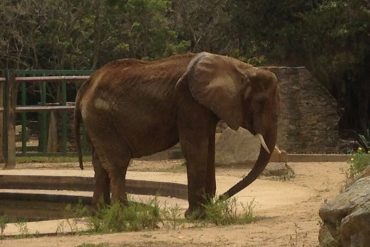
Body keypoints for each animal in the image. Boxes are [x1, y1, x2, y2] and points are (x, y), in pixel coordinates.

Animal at [73, 51, 278, 216]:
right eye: (260, 102)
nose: (220, 199)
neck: (236, 66)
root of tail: (86, 85)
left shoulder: (204, 106)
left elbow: (209, 148)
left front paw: (206, 211)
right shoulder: (188, 101)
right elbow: (195, 148)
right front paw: (197, 216)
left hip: (97, 121)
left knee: (100, 164)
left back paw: (100, 213)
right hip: (101, 118)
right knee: (117, 163)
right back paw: (123, 214)